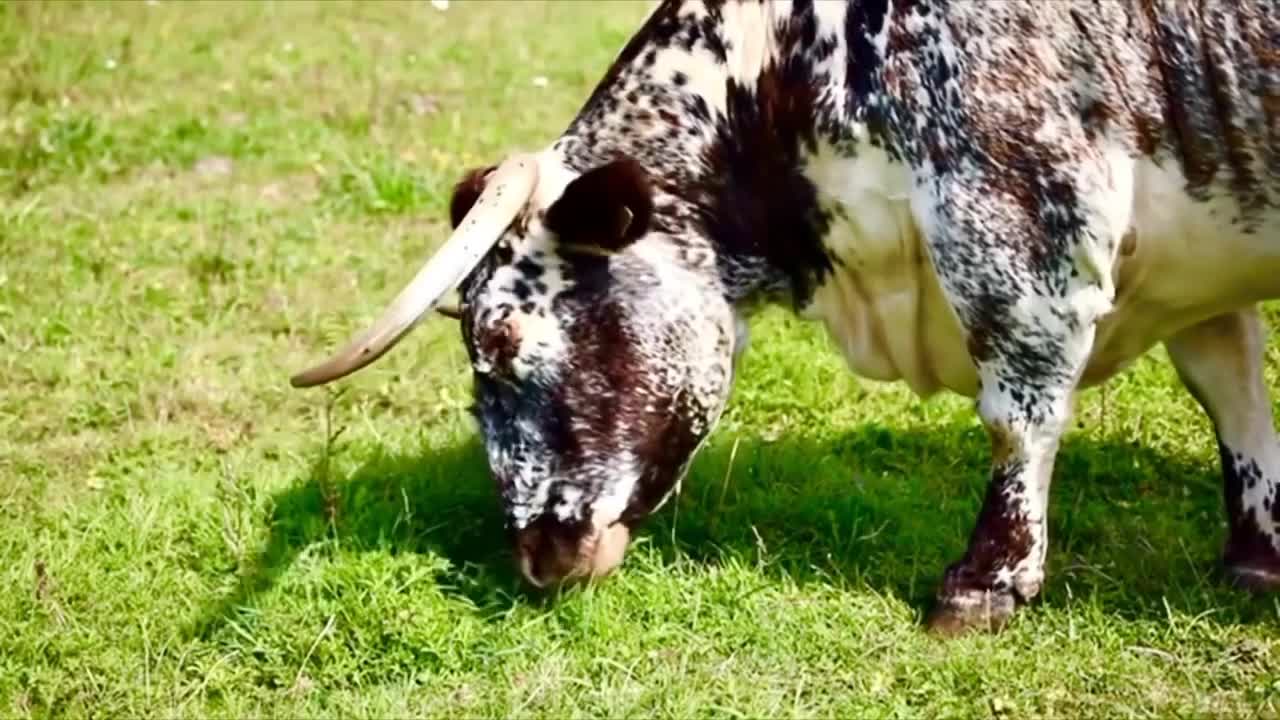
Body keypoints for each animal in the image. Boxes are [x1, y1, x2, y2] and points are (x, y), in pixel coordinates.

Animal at [289, 0, 1279, 634]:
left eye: (502, 340)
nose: (536, 555)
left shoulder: (1020, 220)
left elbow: (1017, 415)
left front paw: (985, 582)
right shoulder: (1203, 263)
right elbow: (1233, 396)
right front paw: (1256, 557)